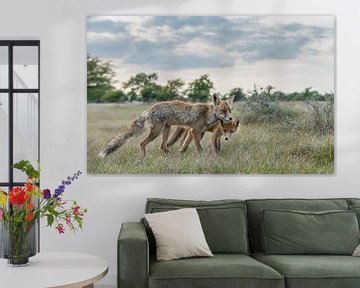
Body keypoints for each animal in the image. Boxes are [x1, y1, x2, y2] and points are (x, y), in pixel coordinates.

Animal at [98, 94, 235, 158]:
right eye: (223, 110)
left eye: (230, 110)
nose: (230, 118)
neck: (208, 113)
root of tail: (149, 109)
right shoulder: (195, 130)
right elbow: (199, 147)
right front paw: (202, 157)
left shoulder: (196, 131)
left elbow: (185, 145)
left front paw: (181, 153)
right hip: (157, 132)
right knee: (142, 144)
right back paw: (143, 158)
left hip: (166, 130)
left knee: (163, 147)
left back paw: (171, 156)